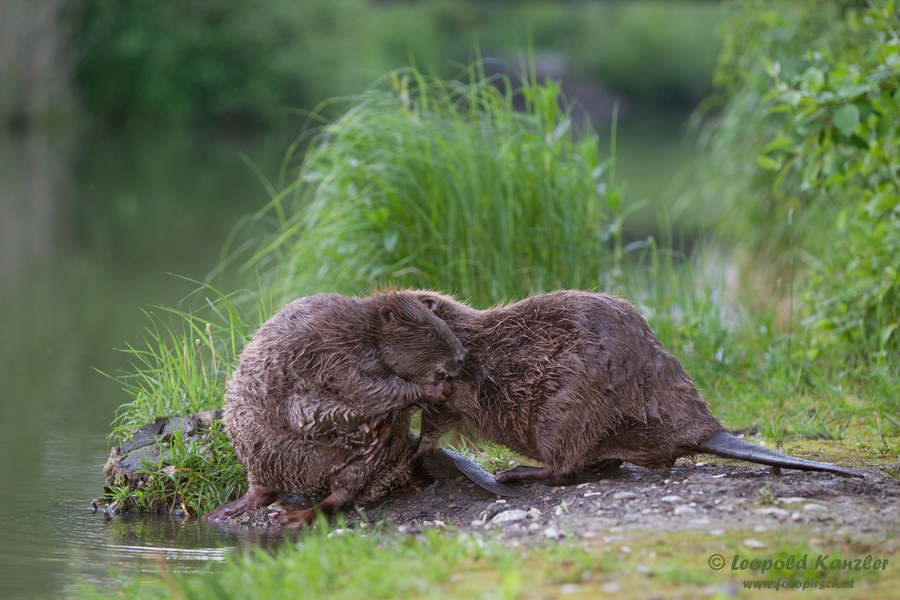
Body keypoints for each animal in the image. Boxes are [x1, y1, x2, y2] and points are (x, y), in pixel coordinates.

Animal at [204, 288, 472, 528]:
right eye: (430, 334)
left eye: (443, 325)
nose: (462, 357)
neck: (363, 333)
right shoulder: (338, 360)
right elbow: (373, 392)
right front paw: (438, 389)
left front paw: (380, 437)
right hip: (255, 458)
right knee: (264, 492)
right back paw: (227, 513)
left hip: (356, 469)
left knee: (338, 497)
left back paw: (290, 517)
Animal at [408, 290, 856, 482]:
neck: (470, 336)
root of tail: (707, 432)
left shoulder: (470, 371)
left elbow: (446, 410)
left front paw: (416, 447)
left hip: (563, 408)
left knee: (561, 469)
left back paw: (513, 474)